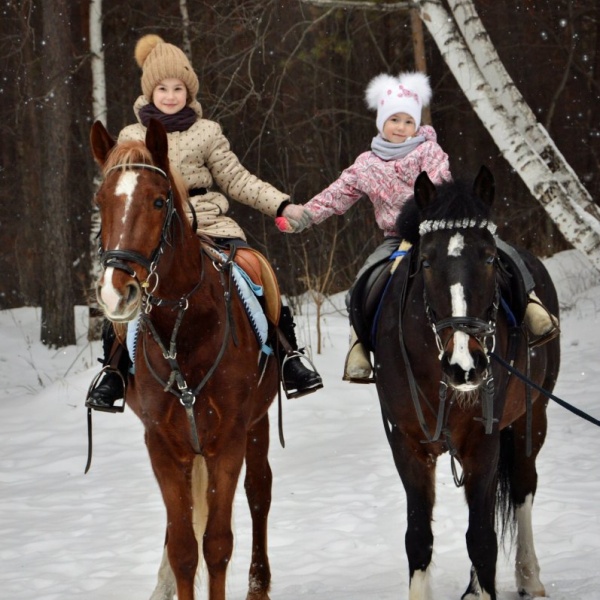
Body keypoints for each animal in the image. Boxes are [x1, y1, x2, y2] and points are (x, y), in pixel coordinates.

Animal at [89, 118, 282, 600]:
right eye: (101, 202)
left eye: (159, 201)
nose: (116, 291)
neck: (184, 331)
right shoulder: (163, 445)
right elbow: (182, 546)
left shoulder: (227, 442)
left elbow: (216, 544)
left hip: (256, 425)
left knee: (259, 493)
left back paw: (258, 583)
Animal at [372, 168, 560, 600]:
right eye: (425, 261)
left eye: (489, 258)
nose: (465, 364)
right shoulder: (406, 445)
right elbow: (419, 537)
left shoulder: (483, 440)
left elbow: (482, 539)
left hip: (532, 419)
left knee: (522, 488)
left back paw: (529, 577)